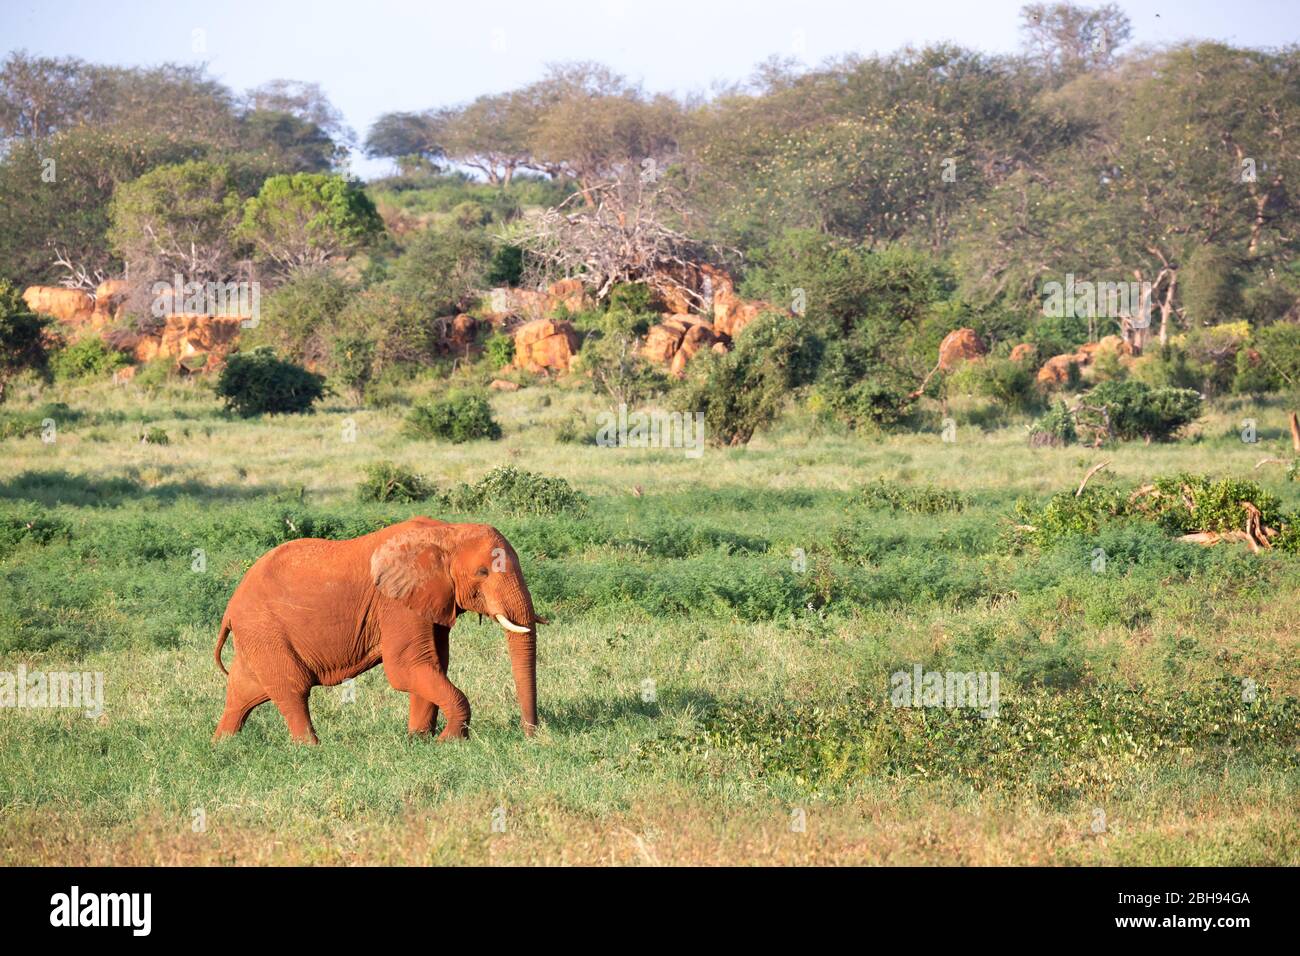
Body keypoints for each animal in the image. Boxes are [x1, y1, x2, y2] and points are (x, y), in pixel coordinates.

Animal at [213, 520, 538, 743]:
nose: (530, 735)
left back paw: (223, 744)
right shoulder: (395, 603)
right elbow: (406, 668)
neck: (447, 532)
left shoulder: (430, 600)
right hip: (264, 629)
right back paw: (311, 748)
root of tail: (229, 608)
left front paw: (419, 740)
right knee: (292, 689)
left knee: (245, 690)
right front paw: (450, 741)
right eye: (483, 573)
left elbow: (433, 665)